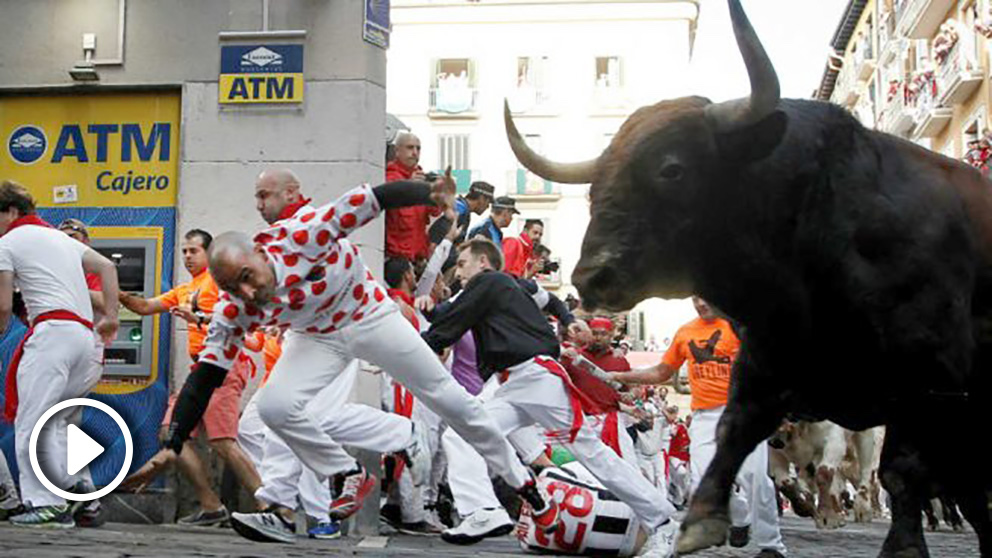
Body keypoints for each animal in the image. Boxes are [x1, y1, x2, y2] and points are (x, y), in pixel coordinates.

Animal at [504, 2, 992, 556]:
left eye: (672, 169)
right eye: (593, 187)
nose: (591, 274)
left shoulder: (925, 382)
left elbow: (899, 472)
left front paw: (895, 541)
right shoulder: (767, 362)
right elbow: (737, 432)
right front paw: (702, 519)